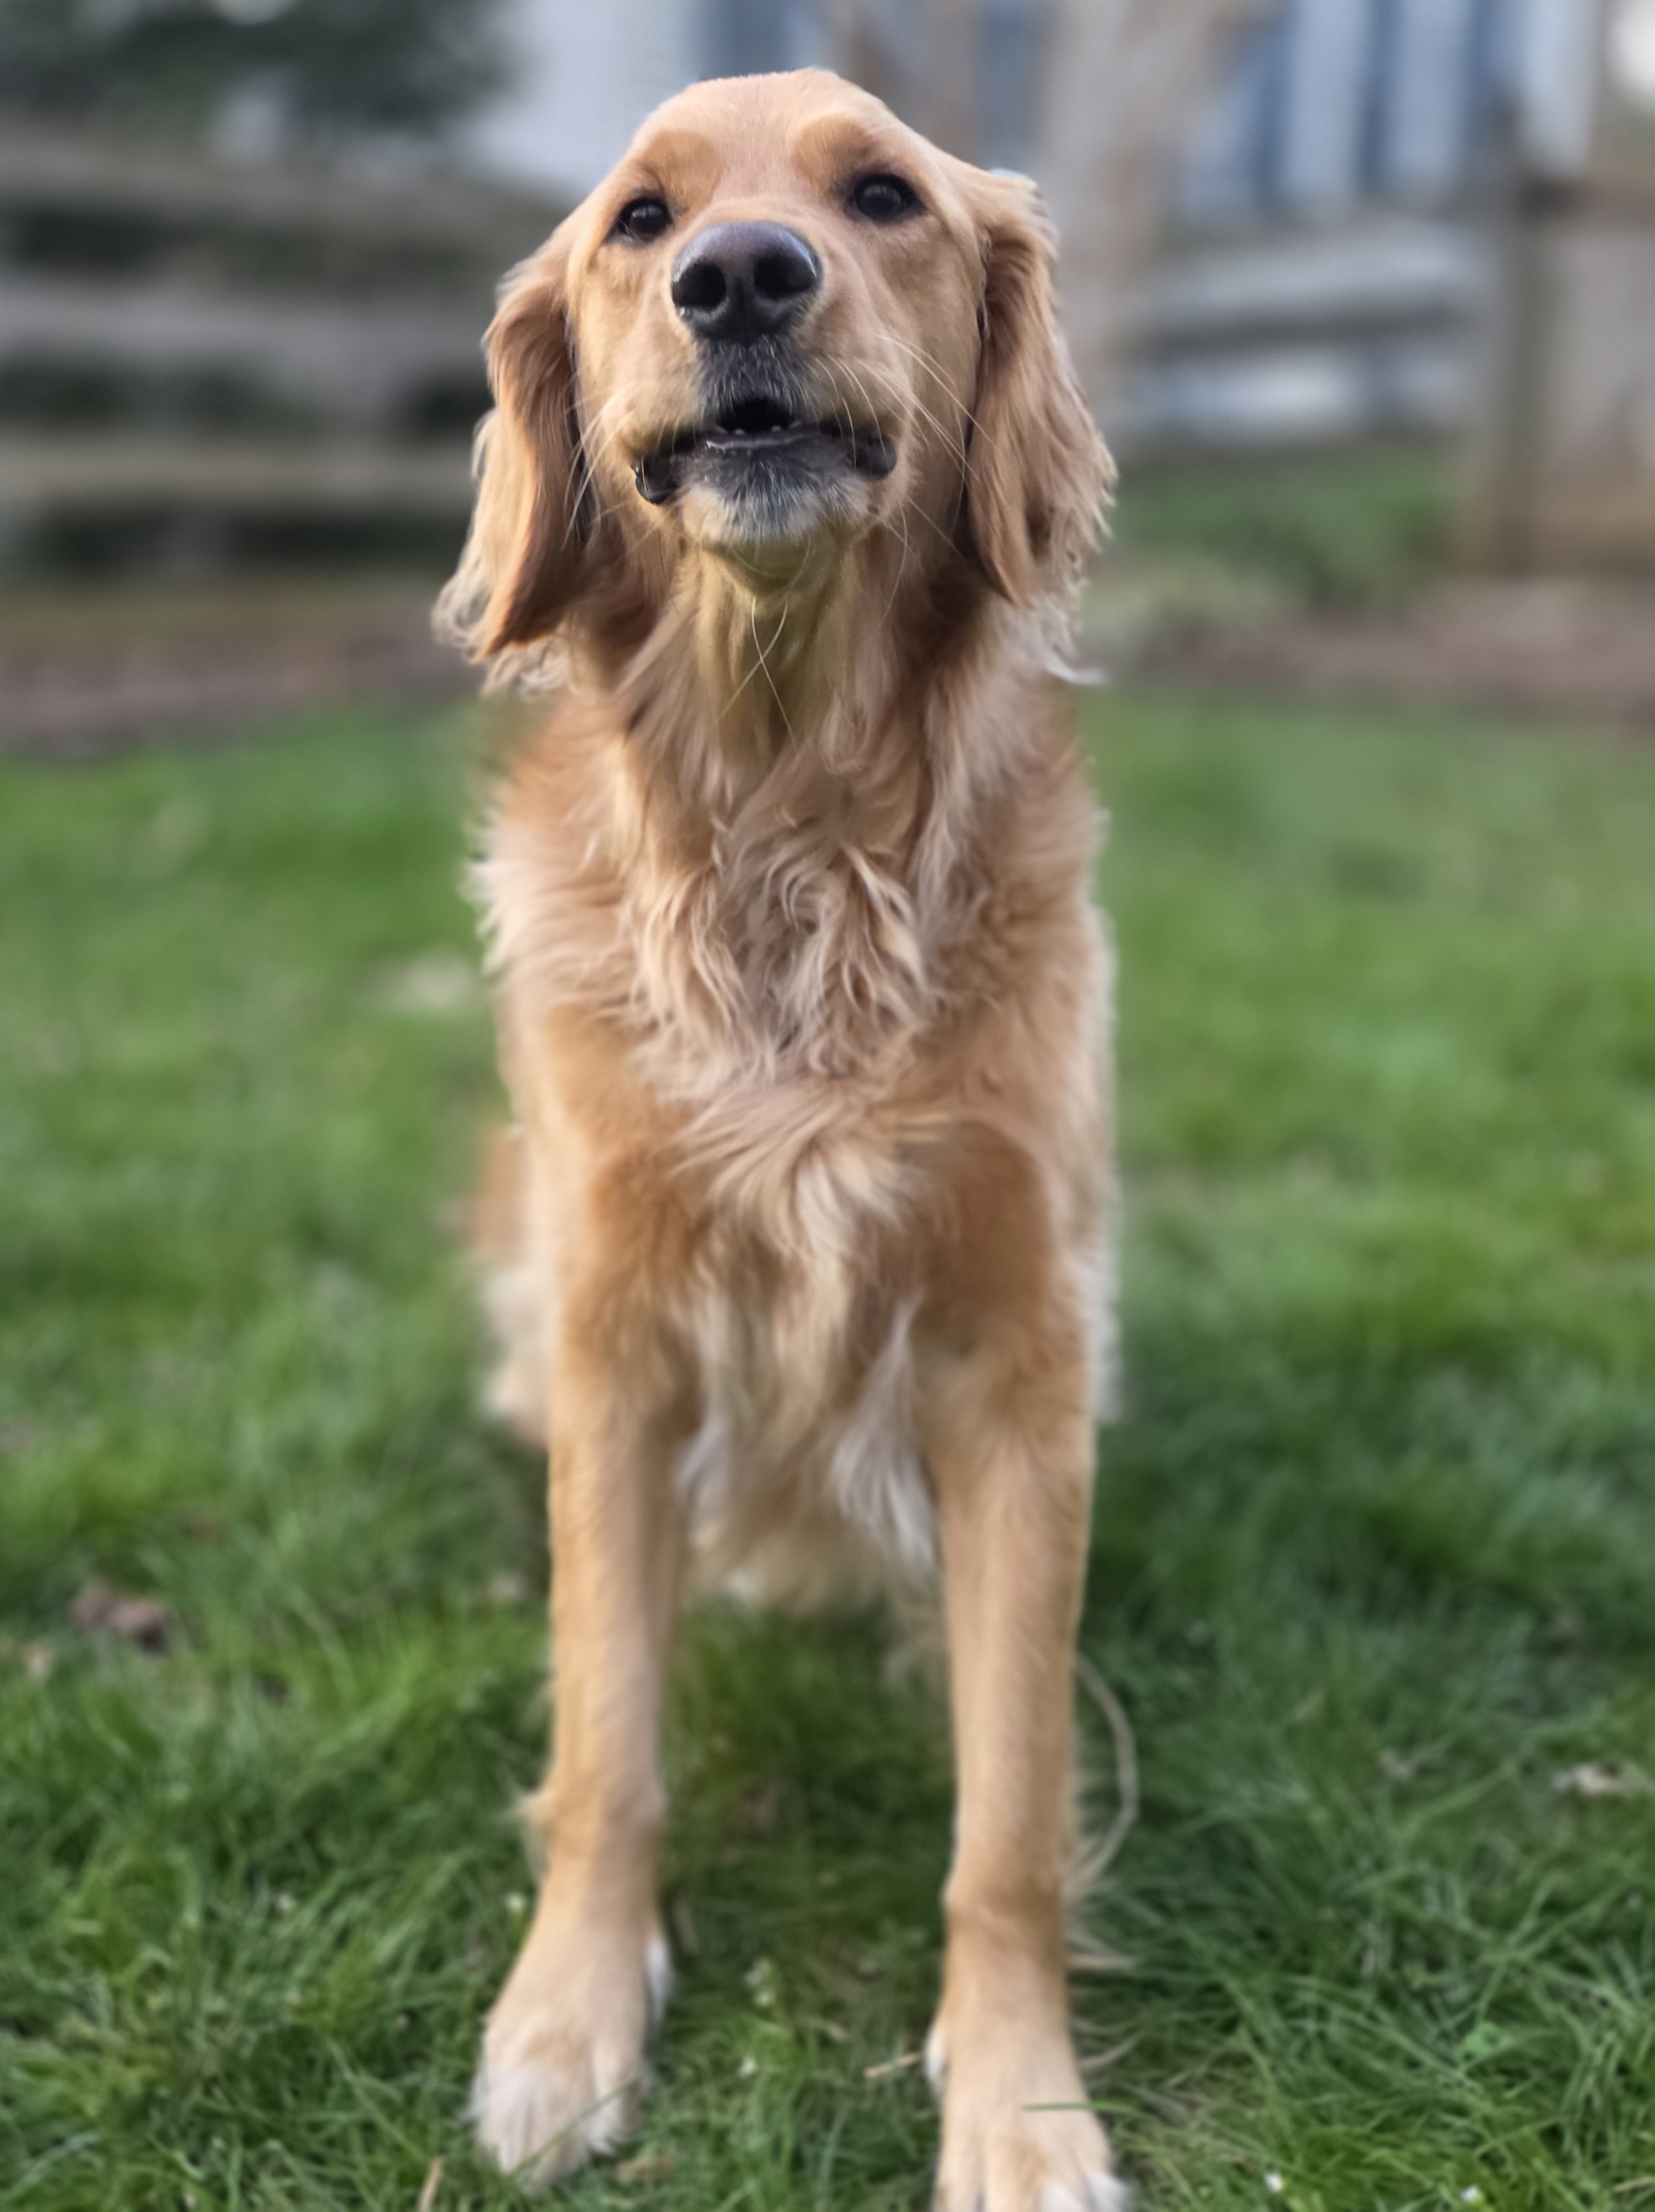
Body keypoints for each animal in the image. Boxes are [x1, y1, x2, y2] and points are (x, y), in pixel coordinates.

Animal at [437, 67, 1121, 2211]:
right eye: (639, 222)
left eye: (882, 194)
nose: (744, 275)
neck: (791, 827)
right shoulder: (620, 1344)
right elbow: (607, 1747)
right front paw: (563, 2025)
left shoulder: (1016, 1358)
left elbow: (1006, 1824)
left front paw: (1023, 2108)